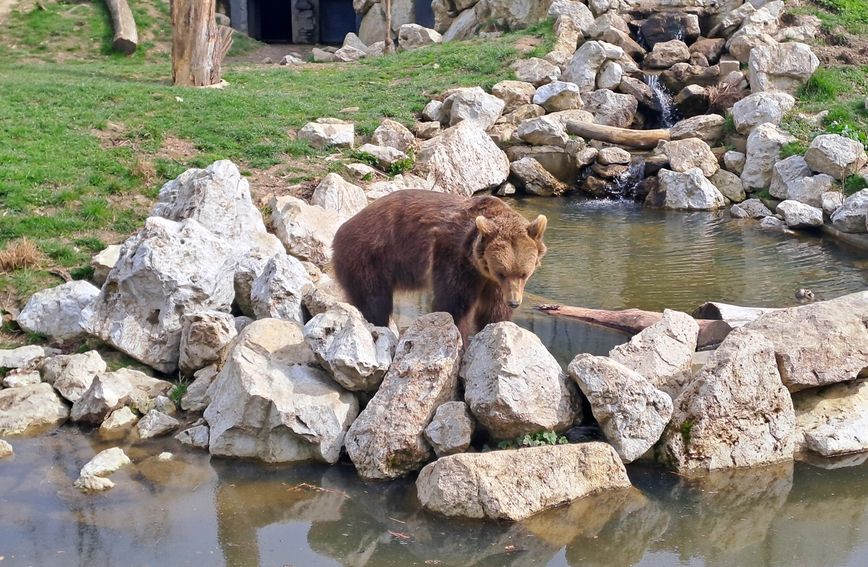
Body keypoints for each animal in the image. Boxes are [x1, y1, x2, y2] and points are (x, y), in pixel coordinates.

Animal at [328, 191, 544, 342]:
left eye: (524, 274)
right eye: (502, 272)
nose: (514, 302)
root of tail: (341, 229)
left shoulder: (491, 281)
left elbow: (493, 310)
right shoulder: (454, 257)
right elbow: (453, 304)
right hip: (369, 258)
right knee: (374, 301)